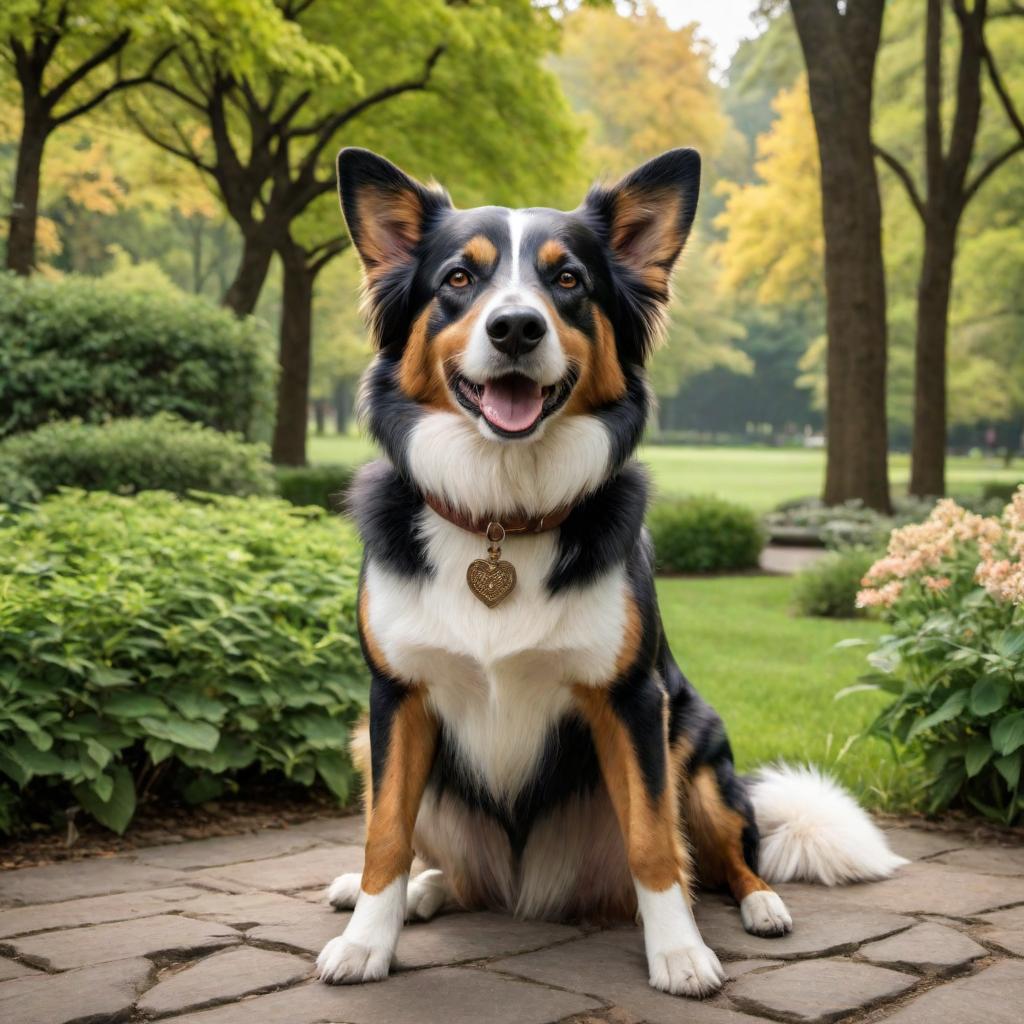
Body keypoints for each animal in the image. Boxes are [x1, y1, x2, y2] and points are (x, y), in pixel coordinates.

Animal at [313, 148, 905, 995]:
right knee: (451, 872)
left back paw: (760, 905)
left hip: (697, 748)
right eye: (459, 278)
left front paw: (681, 953)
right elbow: (386, 834)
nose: (516, 327)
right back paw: (418, 893)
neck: (502, 515)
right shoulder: (397, 699)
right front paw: (368, 940)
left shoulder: (632, 702)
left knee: (723, 860)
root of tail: (521, 889)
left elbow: (654, 842)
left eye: (569, 281)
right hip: (369, 741)